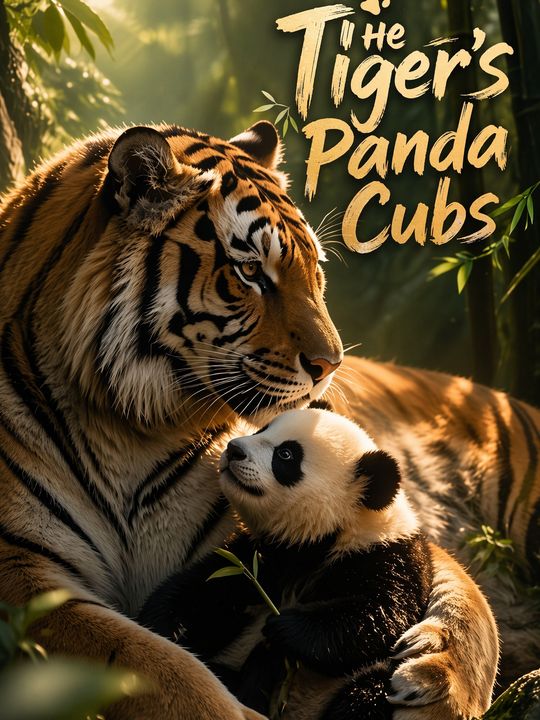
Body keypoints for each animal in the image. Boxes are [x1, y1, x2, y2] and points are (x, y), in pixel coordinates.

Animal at [139, 409, 434, 719]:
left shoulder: (386, 558)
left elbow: (377, 618)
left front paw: (283, 628)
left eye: (286, 455)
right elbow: (207, 585)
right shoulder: (262, 557)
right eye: (262, 429)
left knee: (367, 694)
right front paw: (162, 623)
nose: (233, 449)